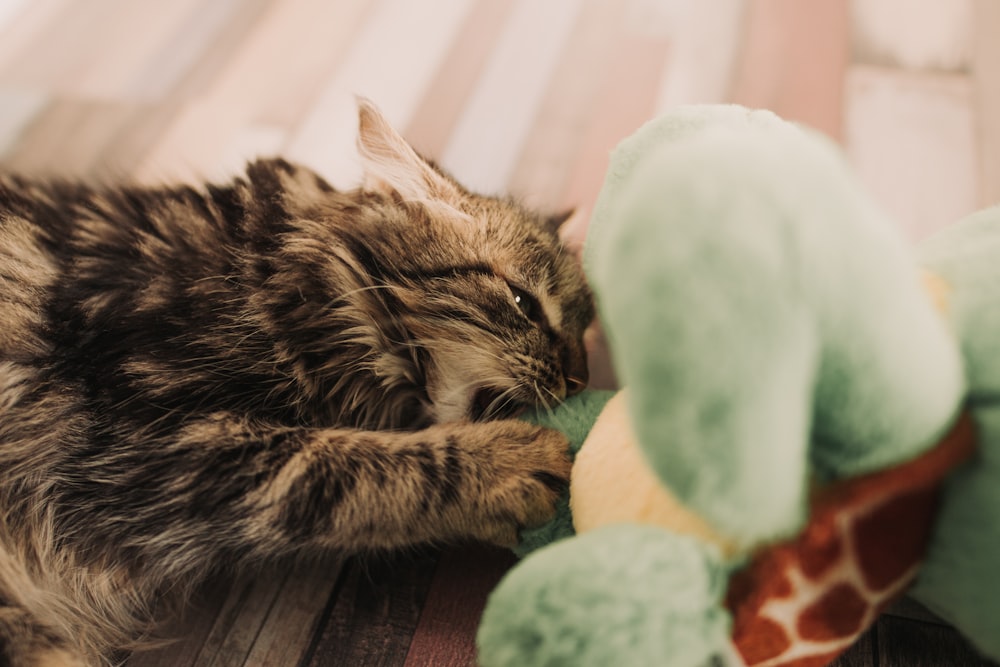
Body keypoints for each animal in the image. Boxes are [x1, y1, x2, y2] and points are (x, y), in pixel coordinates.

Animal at [0, 100, 592, 667]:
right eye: (523, 304)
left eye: (585, 331)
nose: (579, 379)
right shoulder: (143, 441)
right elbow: (343, 464)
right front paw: (509, 464)